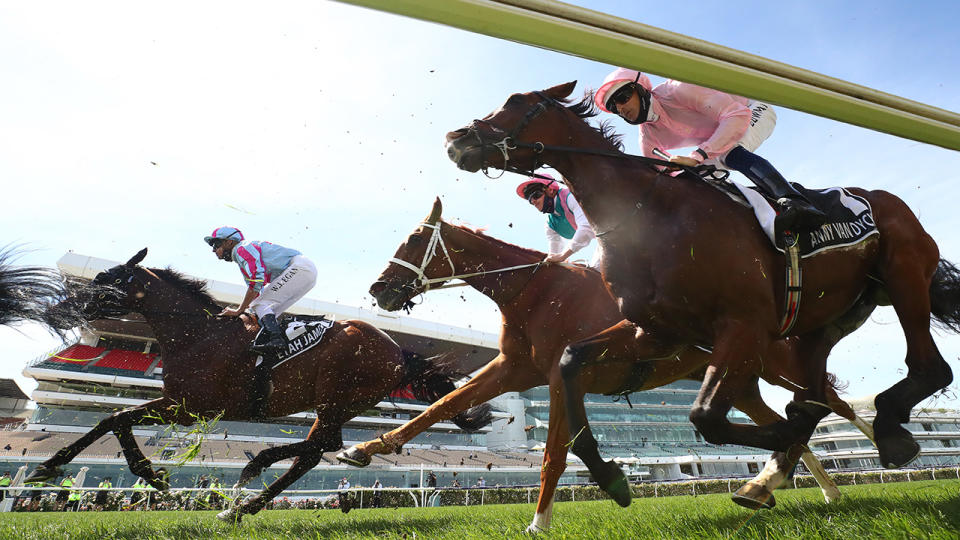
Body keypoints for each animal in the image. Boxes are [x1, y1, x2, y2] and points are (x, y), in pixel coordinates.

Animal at [26, 250, 492, 524]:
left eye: (109, 279)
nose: (67, 305)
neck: (196, 335)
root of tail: (398, 350)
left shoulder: (192, 407)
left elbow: (118, 418)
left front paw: (148, 475)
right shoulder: (177, 399)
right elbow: (113, 418)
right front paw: (50, 467)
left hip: (337, 395)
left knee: (320, 446)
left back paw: (251, 480)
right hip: (339, 401)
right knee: (316, 449)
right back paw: (248, 496)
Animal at [338, 198, 876, 532]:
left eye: (412, 239)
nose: (379, 290)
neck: (535, 292)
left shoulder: (558, 377)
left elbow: (555, 453)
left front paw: (539, 521)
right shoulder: (515, 369)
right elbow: (441, 406)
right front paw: (363, 448)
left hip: (779, 366)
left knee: (837, 405)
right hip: (743, 381)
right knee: (792, 427)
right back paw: (807, 490)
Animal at [444, 81, 960, 506]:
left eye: (515, 102)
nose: (456, 139)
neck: (651, 216)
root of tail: (886, 198)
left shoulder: (740, 324)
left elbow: (707, 416)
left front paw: (783, 437)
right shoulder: (656, 333)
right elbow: (571, 362)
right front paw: (611, 477)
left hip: (902, 274)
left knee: (928, 367)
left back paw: (884, 432)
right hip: (823, 319)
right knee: (820, 389)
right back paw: (782, 471)